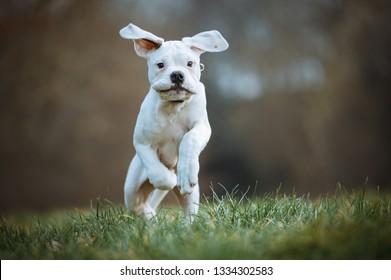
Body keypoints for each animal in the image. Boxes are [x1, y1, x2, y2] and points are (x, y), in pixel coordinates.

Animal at [120, 23, 230, 221]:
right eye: (160, 65)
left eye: (190, 63)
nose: (177, 75)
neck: (172, 107)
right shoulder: (142, 142)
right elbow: (157, 171)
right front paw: (169, 178)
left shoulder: (201, 127)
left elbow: (190, 138)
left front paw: (183, 171)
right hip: (132, 189)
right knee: (140, 204)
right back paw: (152, 219)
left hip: (190, 193)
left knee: (189, 210)